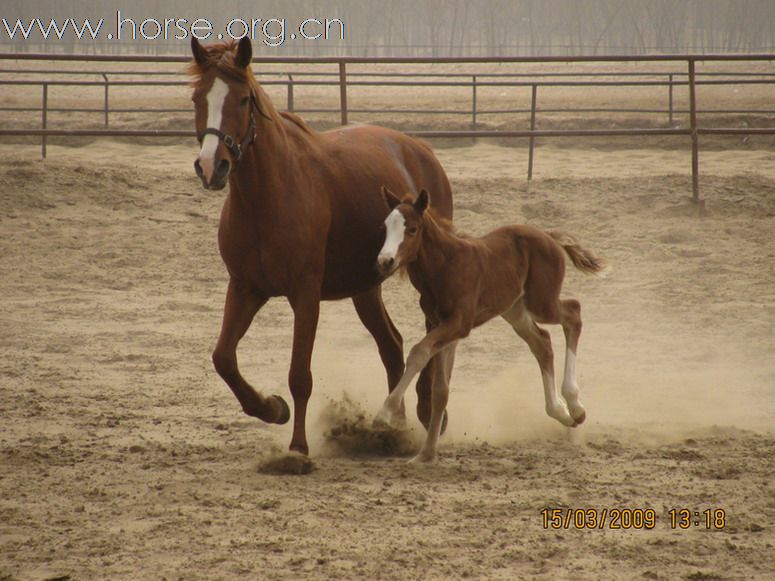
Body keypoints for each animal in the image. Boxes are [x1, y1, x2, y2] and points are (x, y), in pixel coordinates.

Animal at [372, 188, 604, 460]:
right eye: (386, 226)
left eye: (412, 229)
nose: (385, 261)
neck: (445, 267)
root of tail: (548, 235)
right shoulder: (441, 325)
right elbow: (441, 390)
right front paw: (426, 454)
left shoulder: (459, 324)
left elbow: (419, 352)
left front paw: (384, 415)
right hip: (515, 310)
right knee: (543, 342)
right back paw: (562, 413)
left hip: (541, 302)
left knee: (573, 314)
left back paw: (575, 405)